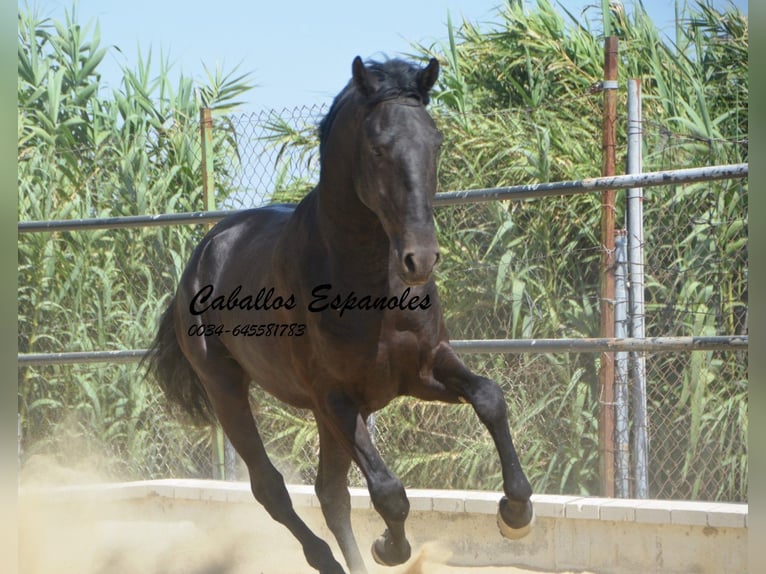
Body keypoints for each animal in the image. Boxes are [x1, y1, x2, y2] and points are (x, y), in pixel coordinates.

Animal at [148, 55, 536, 574]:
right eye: (377, 147)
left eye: (435, 141)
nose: (421, 258)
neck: (372, 287)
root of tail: (203, 252)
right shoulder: (336, 397)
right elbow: (389, 492)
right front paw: (389, 548)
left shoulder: (422, 370)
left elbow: (490, 397)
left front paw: (516, 513)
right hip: (227, 388)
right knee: (272, 488)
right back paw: (327, 559)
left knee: (330, 494)